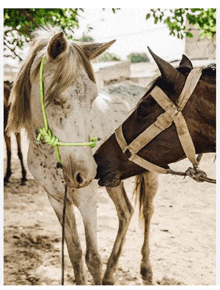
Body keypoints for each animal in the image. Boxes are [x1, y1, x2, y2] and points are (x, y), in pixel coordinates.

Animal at [7, 26, 158, 284]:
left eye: (92, 98)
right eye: (57, 100)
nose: (85, 173)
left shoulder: (87, 198)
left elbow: (93, 259)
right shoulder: (57, 200)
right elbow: (75, 253)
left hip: (150, 174)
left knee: (146, 213)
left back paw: (146, 268)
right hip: (113, 180)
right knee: (126, 212)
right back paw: (110, 275)